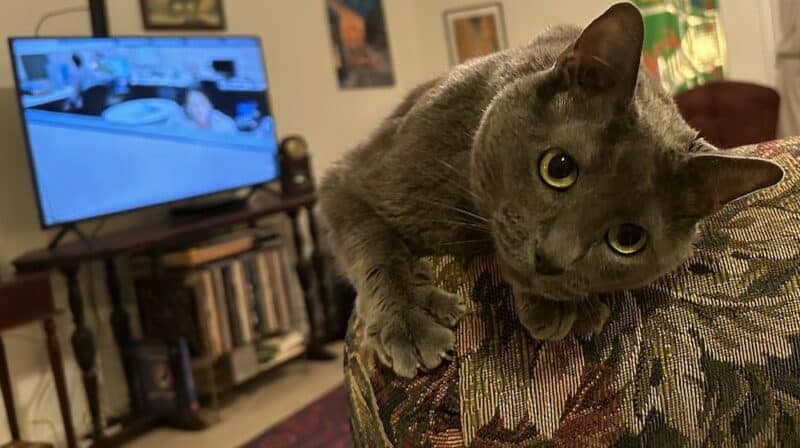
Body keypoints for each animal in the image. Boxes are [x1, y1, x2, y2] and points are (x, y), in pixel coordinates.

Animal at [318, 3, 780, 378]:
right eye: (558, 168)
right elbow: (376, 248)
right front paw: (409, 323)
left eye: (627, 238)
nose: (550, 258)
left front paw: (565, 309)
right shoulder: (351, 179)